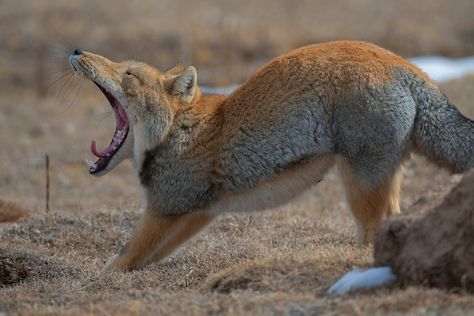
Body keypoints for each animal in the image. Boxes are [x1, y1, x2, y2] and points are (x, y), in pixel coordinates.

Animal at [69, 42, 474, 274]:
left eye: (128, 73)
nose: (77, 52)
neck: (180, 130)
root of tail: (408, 66)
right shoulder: (195, 211)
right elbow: (142, 257)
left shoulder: (165, 208)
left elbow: (124, 257)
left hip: (360, 188)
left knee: (375, 229)